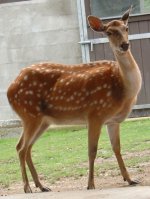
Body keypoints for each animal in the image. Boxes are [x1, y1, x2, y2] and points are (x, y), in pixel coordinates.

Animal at [6, 7, 142, 193]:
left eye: (126, 28)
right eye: (109, 32)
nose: (124, 45)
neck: (123, 88)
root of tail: (9, 90)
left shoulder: (113, 120)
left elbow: (117, 148)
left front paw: (130, 179)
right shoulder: (95, 113)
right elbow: (92, 150)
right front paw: (90, 184)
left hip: (42, 120)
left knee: (27, 147)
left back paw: (42, 186)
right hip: (29, 114)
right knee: (21, 148)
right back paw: (27, 188)